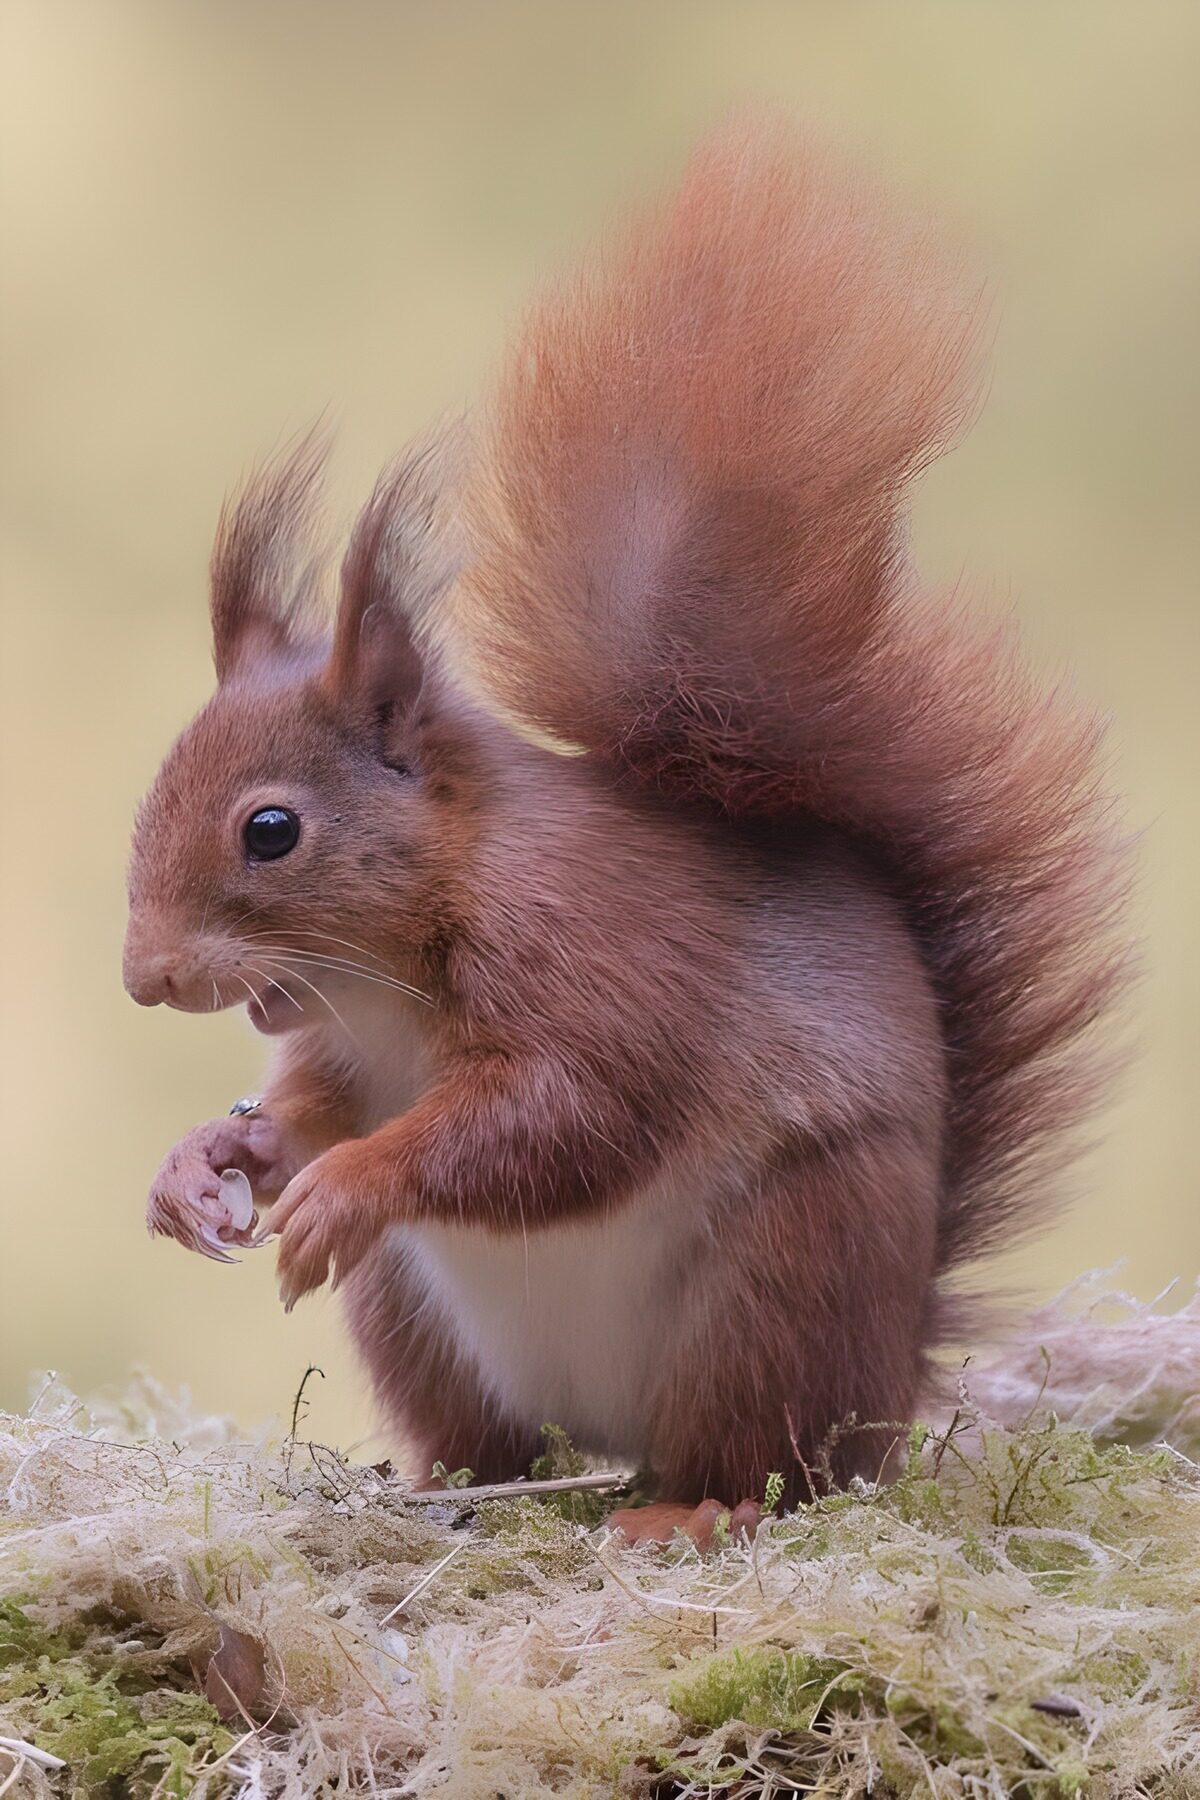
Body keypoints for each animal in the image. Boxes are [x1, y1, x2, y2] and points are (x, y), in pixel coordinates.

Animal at [123, 125, 1130, 1534]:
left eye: (271, 830)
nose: (146, 977)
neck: (389, 970)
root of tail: (892, 1382)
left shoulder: (597, 955)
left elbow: (563, 1119)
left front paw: (349, 1186)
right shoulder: (347, 1055)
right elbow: (311, 1113)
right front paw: (206, 1160)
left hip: (783, 1274)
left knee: (770, 1458)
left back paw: (697, 1512)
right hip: (416, 1319)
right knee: (492, 1444)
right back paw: (435, 1484)